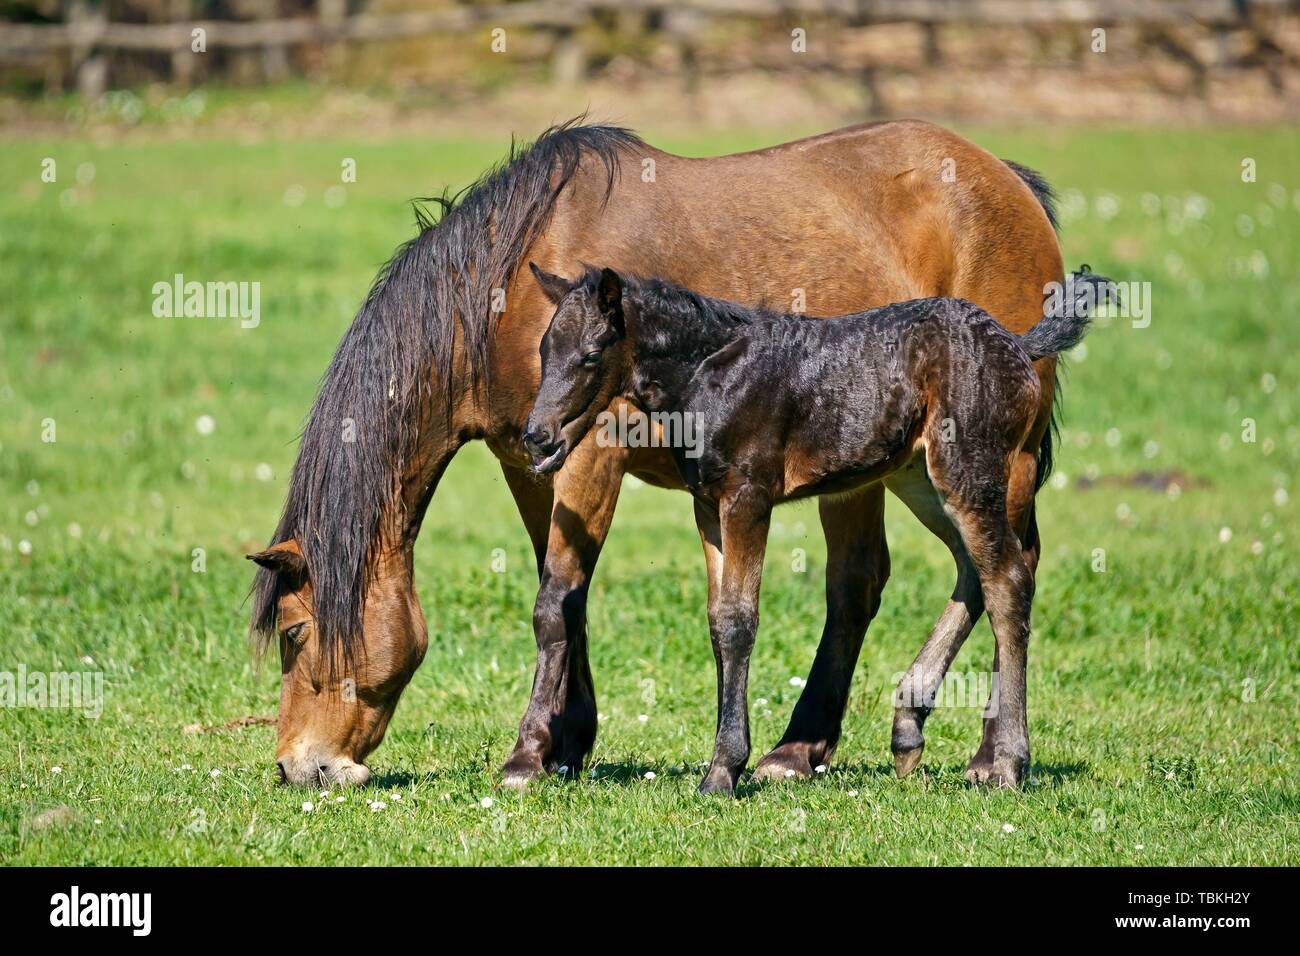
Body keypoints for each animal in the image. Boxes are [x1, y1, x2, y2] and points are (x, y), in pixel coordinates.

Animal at [522, 265, 1092, 796]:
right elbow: (717, 620)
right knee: (974, 571)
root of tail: (1016, 344)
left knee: (1008, 581)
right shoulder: (708, 504)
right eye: (545, 350)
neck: (709, 372)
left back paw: (1008, 763)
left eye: (591, 354)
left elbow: (739, 620)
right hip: (919, 476)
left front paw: (723, 771)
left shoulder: (749, 496)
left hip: (969, 469)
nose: (536, 436)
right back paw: (908, 727)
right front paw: (724, 762)